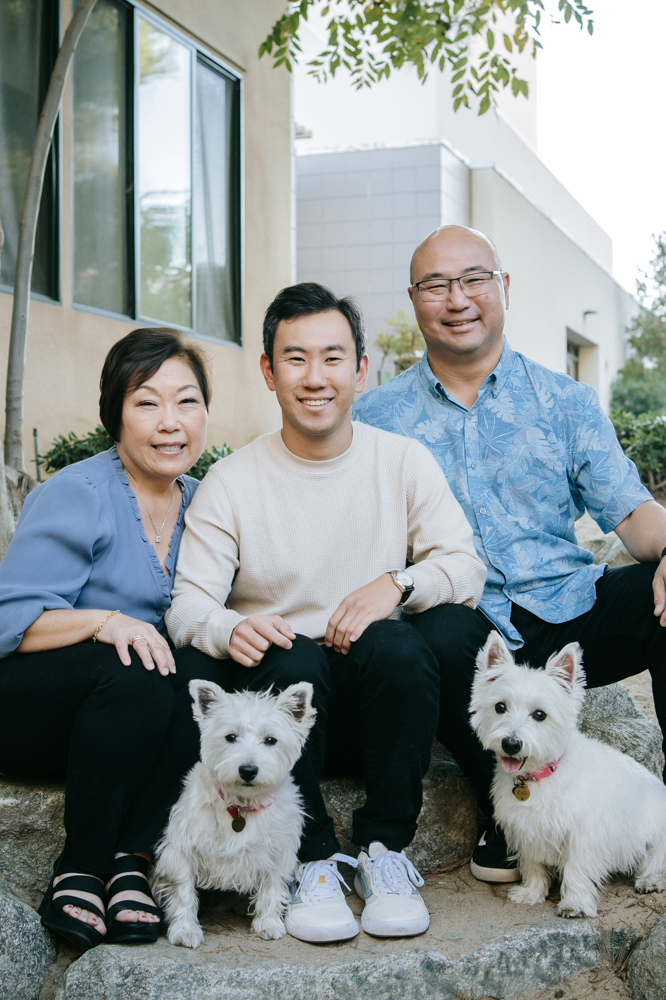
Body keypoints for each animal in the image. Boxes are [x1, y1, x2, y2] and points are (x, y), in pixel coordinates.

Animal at [153, 680, 314, 944]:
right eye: (230, 737)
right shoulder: (182, 849)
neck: (240, 804)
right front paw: (185, 930)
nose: (248, 770)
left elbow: (271, 887)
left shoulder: (279, 850)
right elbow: (183, 892)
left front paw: (268, 923)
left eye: (271, 740)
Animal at [466, 628, 664, 916]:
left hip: (656, 833)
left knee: (656, 859)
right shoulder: (525, 828)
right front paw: (531, 893)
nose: (511, 744)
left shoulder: (583, 833)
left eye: (540, 714)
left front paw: (575, 904)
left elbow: (576, 869)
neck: (539, 777)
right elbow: (533, 864)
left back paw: (650, 880)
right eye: (500, 707)